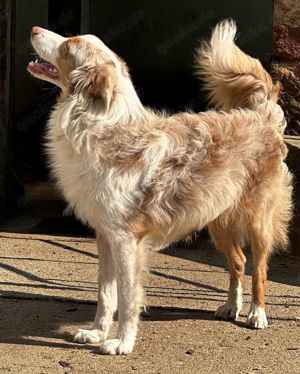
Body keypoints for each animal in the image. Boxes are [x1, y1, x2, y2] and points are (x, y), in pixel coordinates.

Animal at [27, 20, 290, 354]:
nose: (35, 28)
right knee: (239, 262)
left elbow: (127, 297)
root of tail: (261, 113)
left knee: (259, 268)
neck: (101, 122)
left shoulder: (126, 240)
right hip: (217, 221)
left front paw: (121, 342)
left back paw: (257, 313)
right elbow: (105, 293)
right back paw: (232, 306)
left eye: (68, 46)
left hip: (258, 221)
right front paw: (97, 333)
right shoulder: (106, 235)